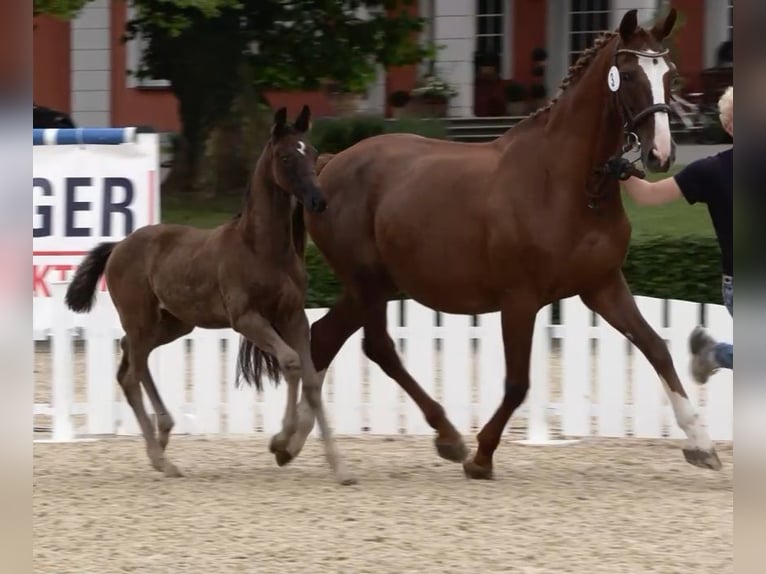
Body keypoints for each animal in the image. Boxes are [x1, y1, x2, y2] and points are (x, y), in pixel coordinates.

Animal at [64, 105, 356, 485]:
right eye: (285, 156)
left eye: (313, 152)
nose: (318, 201)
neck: (262, 248)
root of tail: (118, 246)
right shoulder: (246, 318)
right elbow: (291, 362)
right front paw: (280, 441)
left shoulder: (293, 317)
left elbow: (309, 378)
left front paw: (337, 466)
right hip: (140, 318)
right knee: (131, 373)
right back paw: (161, 458)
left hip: (173, 324)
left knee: (131, 360)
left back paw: (163, 434)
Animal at [281, 8, 723, 479]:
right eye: (629, 74)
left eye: (670, 74)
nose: (661, 154)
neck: (569, 184)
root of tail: (328, 167)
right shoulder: (520, 298)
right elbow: (517, 383)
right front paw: (481, 456)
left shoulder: (603, 286)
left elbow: (657, 349)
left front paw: (702, 444)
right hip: (367, 282)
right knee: (376, 347)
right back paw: (448, 438)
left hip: (374, 285)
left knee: (325, 337)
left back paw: (290, 440)